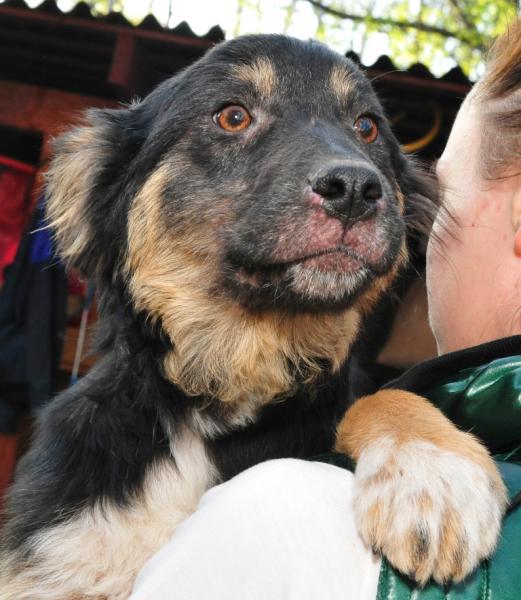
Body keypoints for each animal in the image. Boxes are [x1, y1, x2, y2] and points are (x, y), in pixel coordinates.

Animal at [0, 35, 506, 596]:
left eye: (367, 126)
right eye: (233, 116)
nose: (355, 188)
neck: (222, 390)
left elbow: (380, 396)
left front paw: (436, 473)